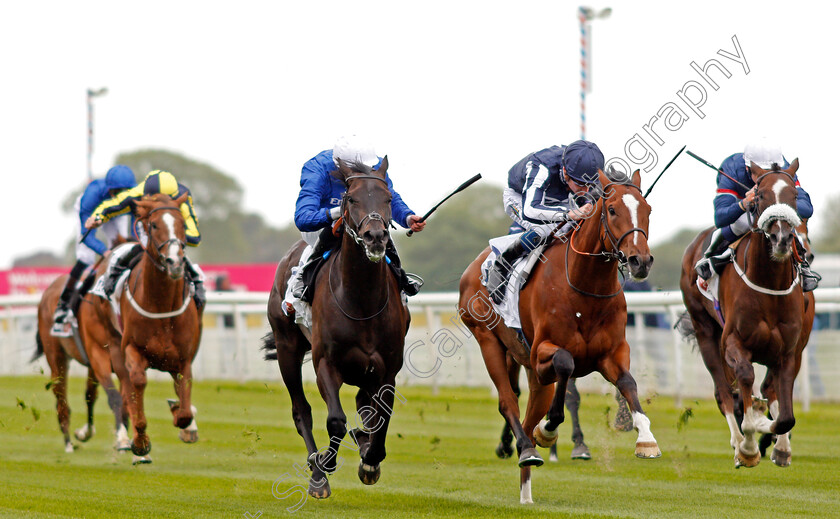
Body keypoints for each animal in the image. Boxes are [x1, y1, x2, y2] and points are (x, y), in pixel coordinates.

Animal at [460, 170, 664, 504]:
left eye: (647, 210)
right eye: (612, 210)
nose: (640, 261)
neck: (585, 289)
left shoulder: (611, 354)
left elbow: (628, 383)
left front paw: (646, 438)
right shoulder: (544, 351)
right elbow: (566, 365)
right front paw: (549, 432)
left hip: (528, 367)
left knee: (528, 414)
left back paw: (526, 493)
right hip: (488, 340)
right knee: (509, 401)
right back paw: (527, 449)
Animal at [680, 160, 812, 470]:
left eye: (793, 196)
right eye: (760, 196)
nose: (781, 238)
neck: (769, 285)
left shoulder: (789, 351)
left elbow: (785, 414)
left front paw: (775, 440)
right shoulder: (734, 342)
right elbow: (744, 380)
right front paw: (750, 445)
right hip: (705, 331)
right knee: (723, 392)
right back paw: (740, 442)